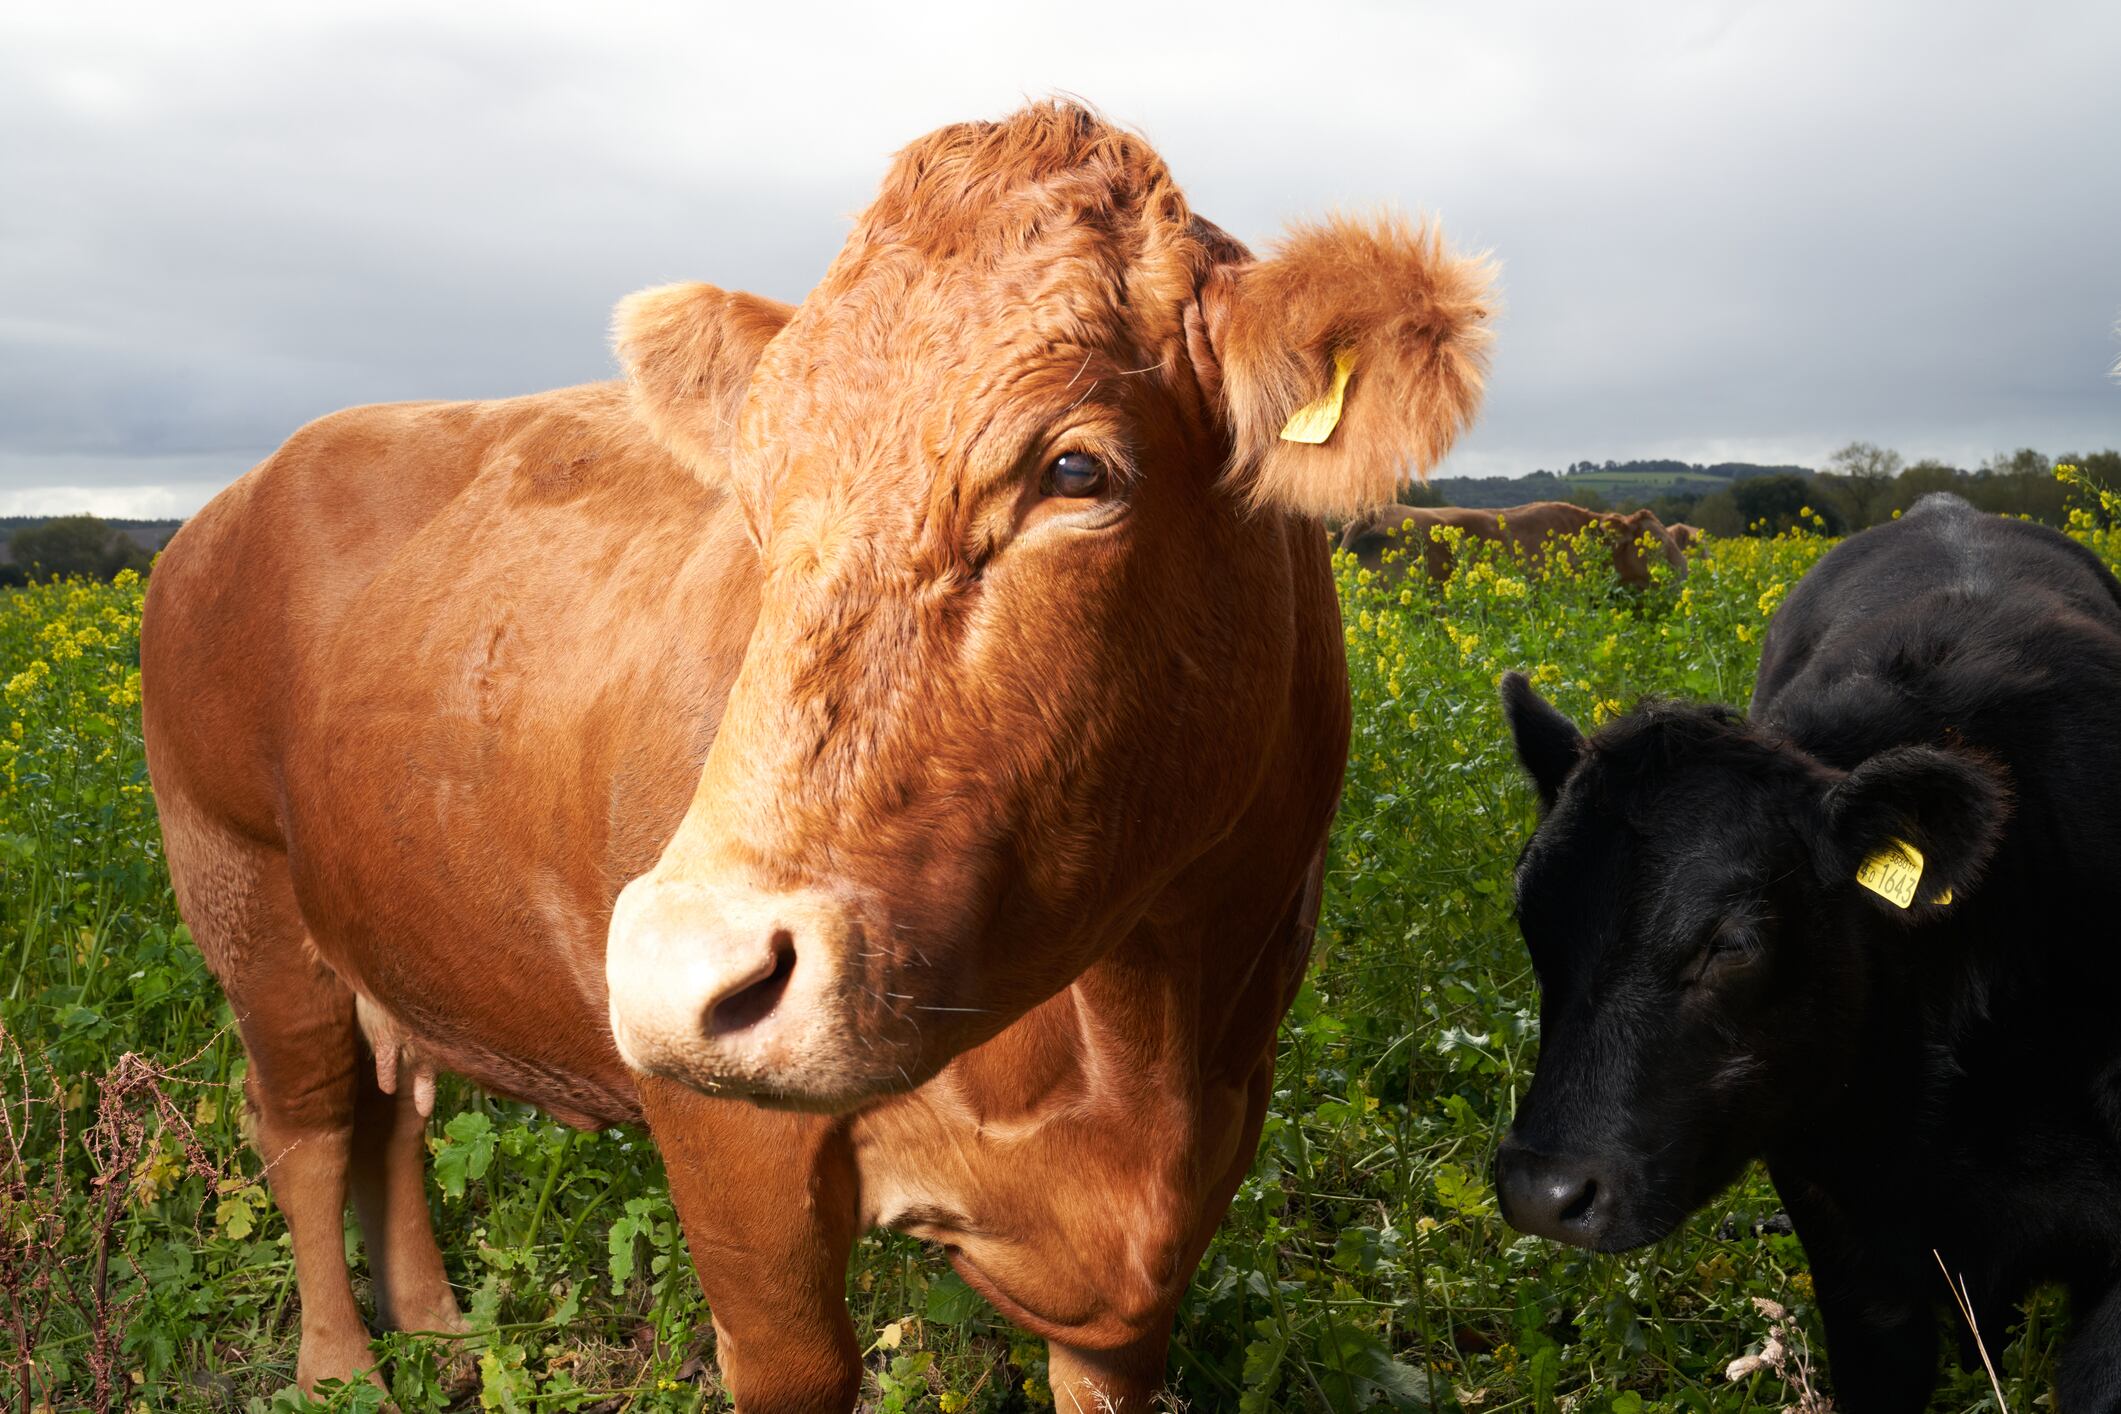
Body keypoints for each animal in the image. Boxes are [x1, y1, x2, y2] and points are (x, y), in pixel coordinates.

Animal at [139, 103, 1493, 1412]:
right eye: (755, 488)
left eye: (1077, 469)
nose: (674, 968)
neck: (1141, 1047)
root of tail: (225, 507)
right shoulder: (735, 1158)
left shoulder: (1175, 1215)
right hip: (248, 903)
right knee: (309, 1132)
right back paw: (341, 1366)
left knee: (395, 1116)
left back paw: (434, 1322)